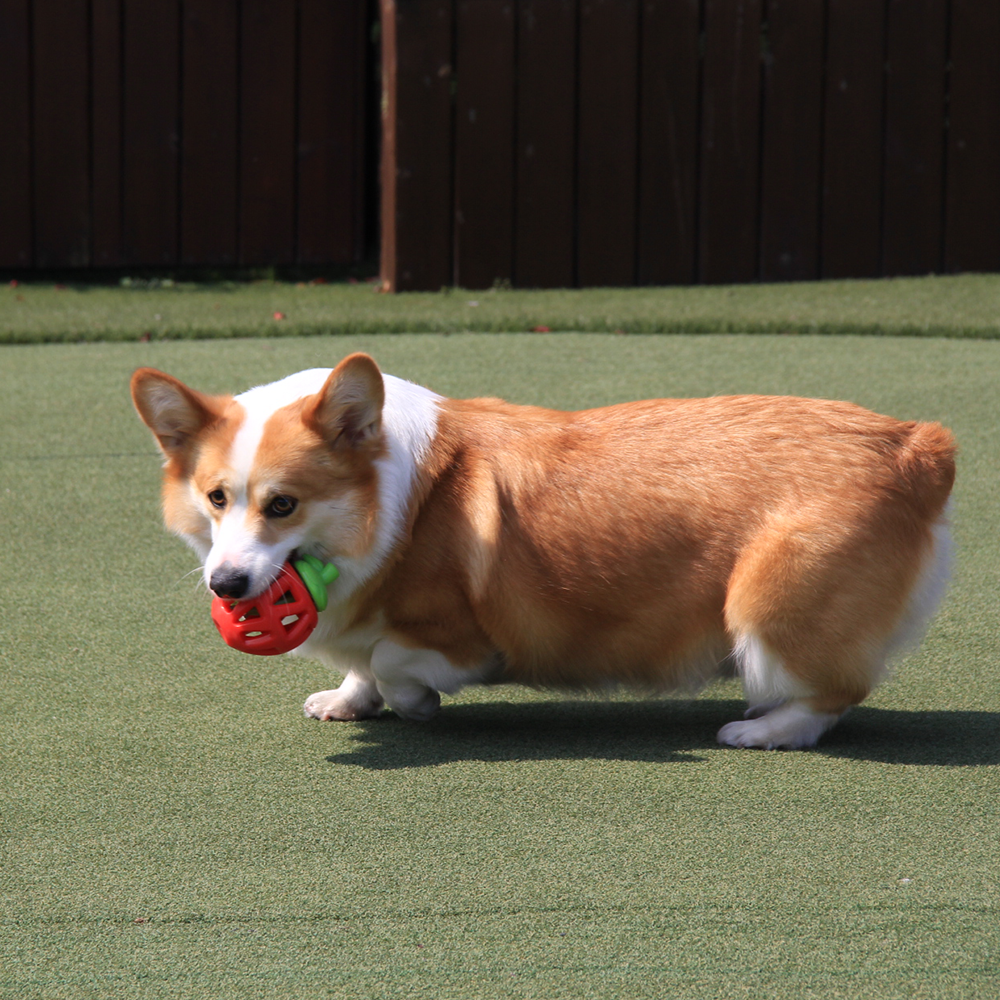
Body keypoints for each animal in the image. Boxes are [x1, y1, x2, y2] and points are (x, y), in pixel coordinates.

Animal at [129, 356, 956, 748]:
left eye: (283, 505)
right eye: (216, 498)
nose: (227, 585)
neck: (390, 504)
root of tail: (916, 445)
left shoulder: (464, 640)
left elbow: (394, 661)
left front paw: (413, 706)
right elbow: (362, 664)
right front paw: (347, 700)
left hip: (766, 601)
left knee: (834, 694)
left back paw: (761, 729)